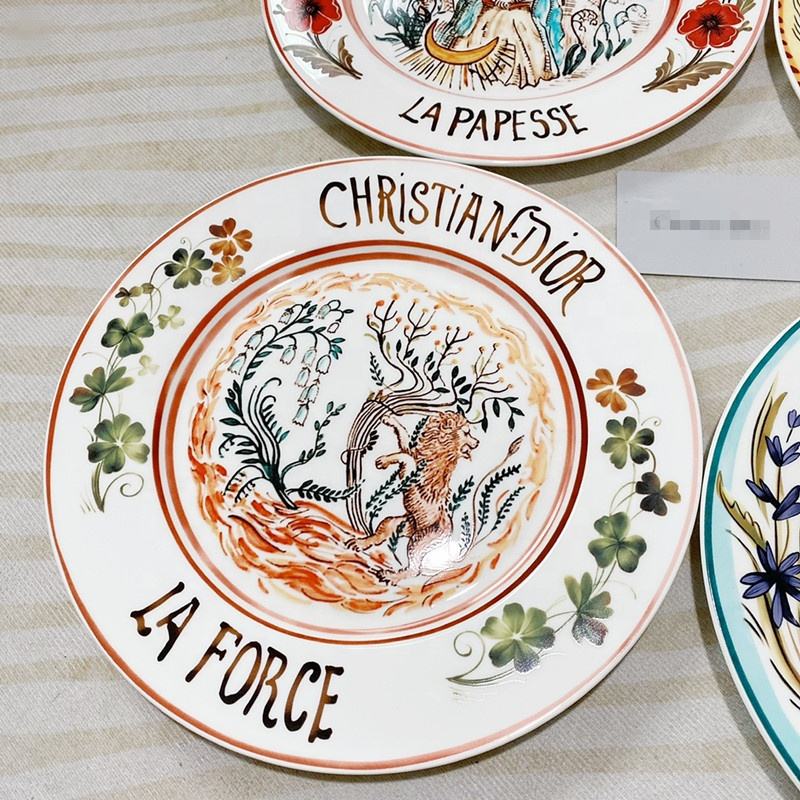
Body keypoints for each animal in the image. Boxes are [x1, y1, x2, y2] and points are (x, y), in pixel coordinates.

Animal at [348, 410, 479, 582]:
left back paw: (389, 576)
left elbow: (406, 457)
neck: (439, 448)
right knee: (380, 535)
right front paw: (390, 419)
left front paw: (383, 461)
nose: (477, 442)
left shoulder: (414, 477)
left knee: (415, 570)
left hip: (418, 541)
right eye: (467, 432)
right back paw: (361, 543)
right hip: (398, 523)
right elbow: (404, 441)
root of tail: (448, 532)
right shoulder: (413, 453)